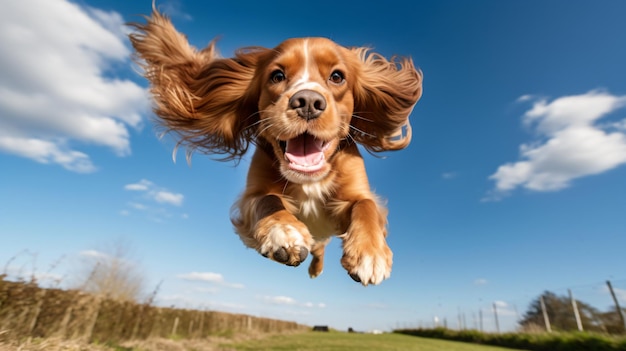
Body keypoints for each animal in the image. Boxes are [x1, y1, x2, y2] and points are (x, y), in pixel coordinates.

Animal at [130, 8, 424, 286]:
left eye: (337, 76)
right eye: (277, 76)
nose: (308, 102)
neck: (308, 179)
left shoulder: (354, 194)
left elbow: (366, 206)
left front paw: (370, 253)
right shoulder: (252, 196)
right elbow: (268, 200)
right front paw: (284, 232)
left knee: (321, 247)